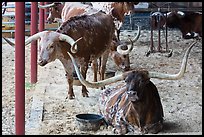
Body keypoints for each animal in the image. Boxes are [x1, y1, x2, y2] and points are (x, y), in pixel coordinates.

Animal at [67, 40, 197, 134]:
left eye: (143, 81)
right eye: (126, 81)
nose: (131, 94)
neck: (140, 114)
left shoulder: (159, 122)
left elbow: (152, 129)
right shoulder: (118, 119)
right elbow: (122, 129)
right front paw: (113, 129)